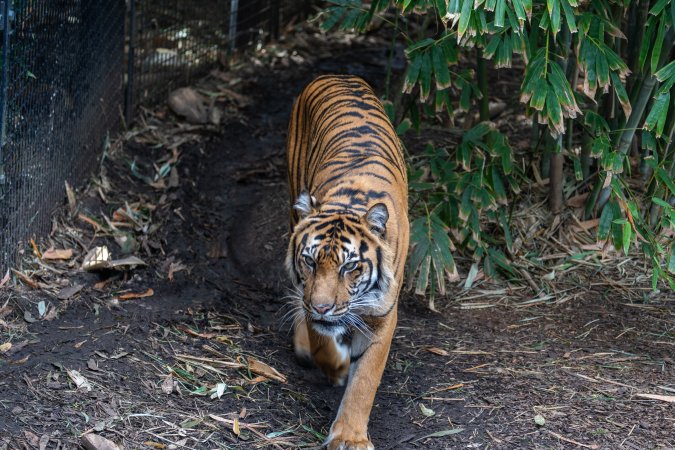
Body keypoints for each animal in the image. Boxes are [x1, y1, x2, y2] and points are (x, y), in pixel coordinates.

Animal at [285, 74, 409, 450]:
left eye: (349, 267)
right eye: (309, 262)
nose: (323, 307)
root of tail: (337, 75)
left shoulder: (383, 315)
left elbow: (366, 379)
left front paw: (350, 437)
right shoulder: (310, 296)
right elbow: (321, 339)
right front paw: (336, 366)